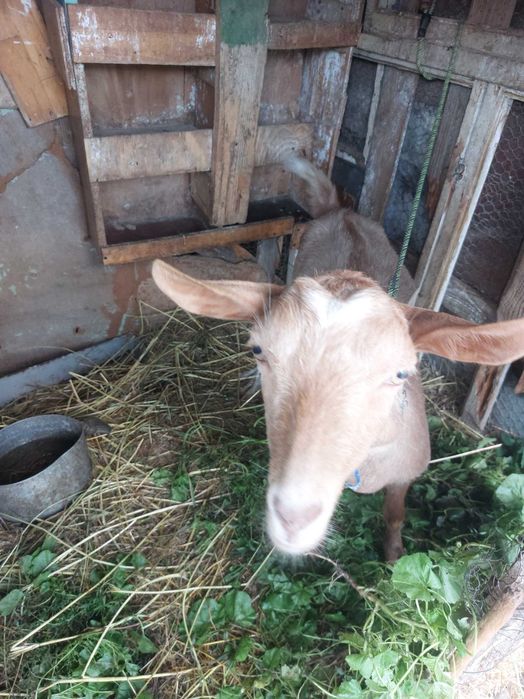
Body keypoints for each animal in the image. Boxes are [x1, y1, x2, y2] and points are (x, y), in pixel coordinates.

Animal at [151, 163, 524, 562]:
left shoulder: (406, 473)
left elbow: (395, 515)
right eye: (258, 351)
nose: (293, 519)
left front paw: (393, 555)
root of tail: (341, 212)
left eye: (401, 373)